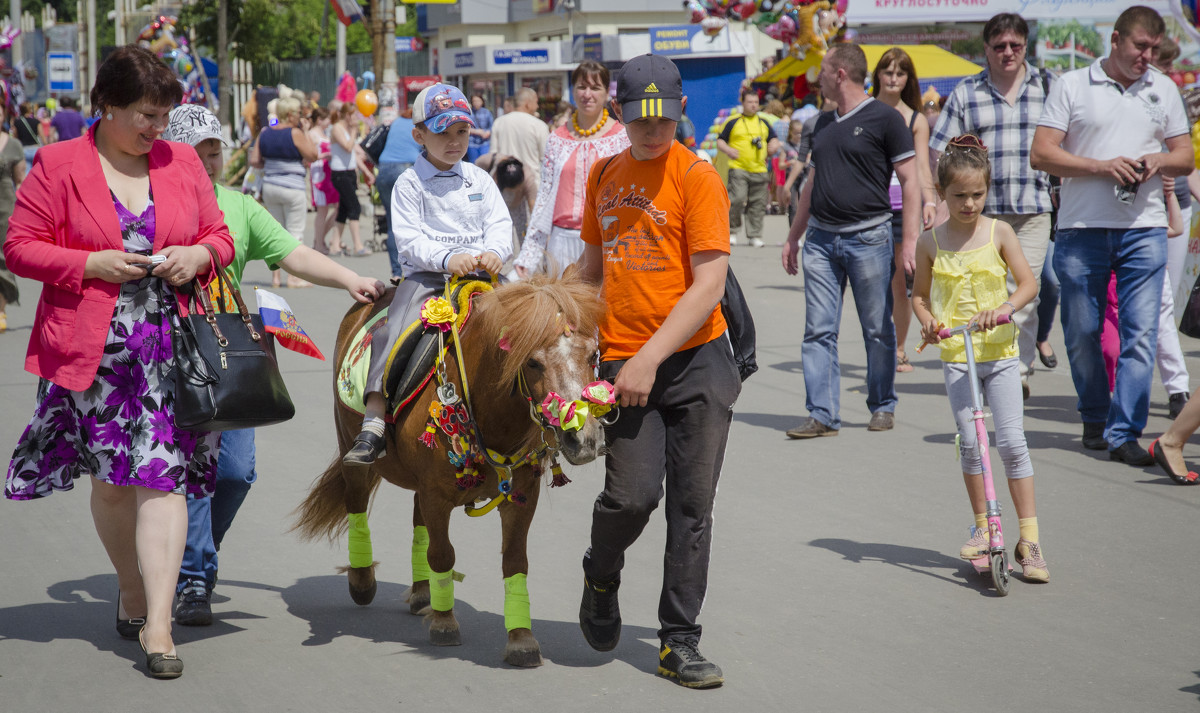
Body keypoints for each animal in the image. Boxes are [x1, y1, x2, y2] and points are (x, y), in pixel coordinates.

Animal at [295, 268, 604, 662]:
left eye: (593, 354)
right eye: (533, 362)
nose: (584, 438)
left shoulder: (521, 496)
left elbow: (514, 562)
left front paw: (520, 637)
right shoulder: (437, 494)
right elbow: (443, 554)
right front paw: (445, 623)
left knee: (417, 521)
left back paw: (422, 592)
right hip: (351, 450)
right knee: (357, 504)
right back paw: (363, 580)